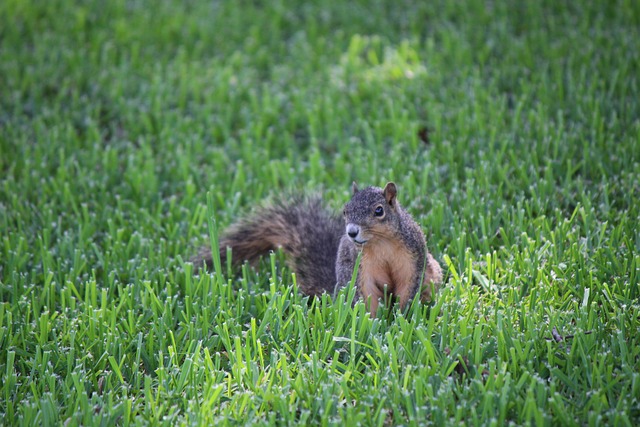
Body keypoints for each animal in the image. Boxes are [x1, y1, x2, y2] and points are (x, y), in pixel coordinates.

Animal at [195, 182, 442, 316]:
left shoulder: (412, 254)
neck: (380, 242)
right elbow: (365, 293)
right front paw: (374, 322)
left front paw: (403, 314)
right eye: (345, 210)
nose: (352, 232)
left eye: (379, 210)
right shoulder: (358, 266)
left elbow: (409, 284)